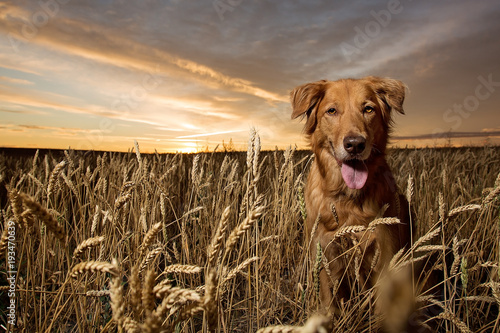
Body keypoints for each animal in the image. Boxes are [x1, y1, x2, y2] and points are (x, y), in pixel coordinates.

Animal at [292, 76, 412, 312]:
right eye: (331, 111)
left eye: (368, 109)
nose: (355, 144)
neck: (347, 198)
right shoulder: (324, 254)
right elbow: (328, 303)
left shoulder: (383, 254)